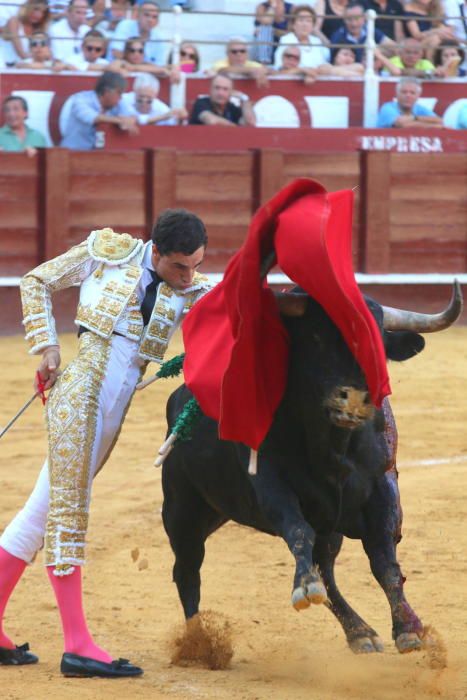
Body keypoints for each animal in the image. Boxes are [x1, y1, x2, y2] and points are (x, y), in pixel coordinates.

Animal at [163, 284, 462, 656]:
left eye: (377, 342)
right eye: (316, 337)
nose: (354, 399)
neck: (333, 447)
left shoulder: (383, 485)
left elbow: (384, 559)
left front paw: (410, 629)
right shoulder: (270, 485)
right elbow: (297, 531)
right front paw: (304, 587)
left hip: (322, 526)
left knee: (327, 570)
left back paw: (360, 633)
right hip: (181, 509)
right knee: (187, 571)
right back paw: (199, 643)